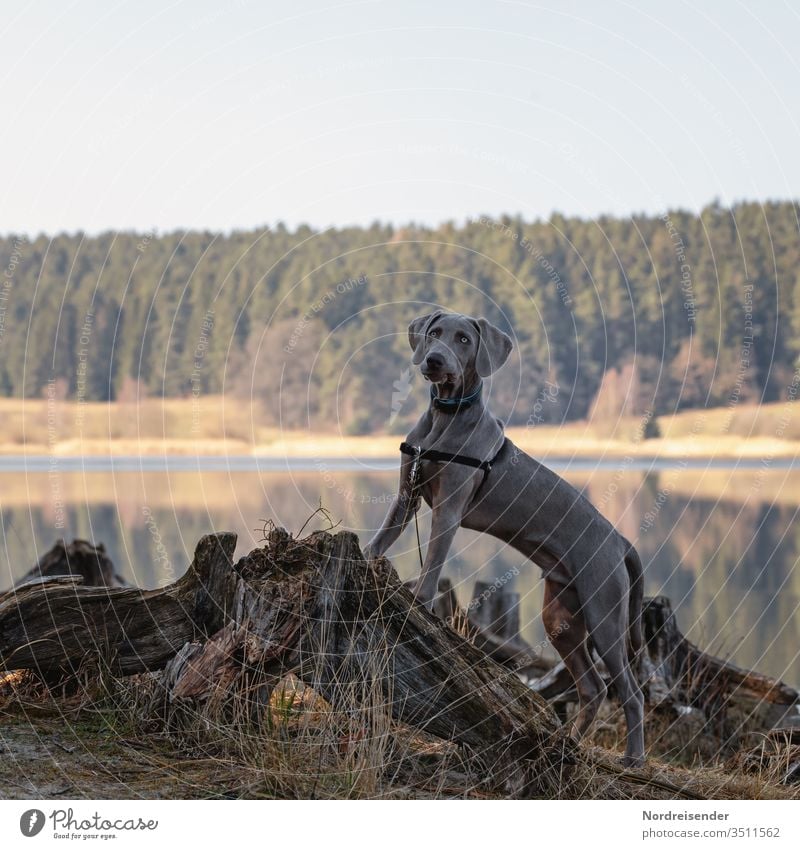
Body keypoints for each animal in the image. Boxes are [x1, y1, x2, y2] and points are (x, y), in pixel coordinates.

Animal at [366, 312, 648, 768]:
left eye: (464, 339)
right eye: (433, 333)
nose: (434, 360)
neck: (445, 416)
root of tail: (620, 539)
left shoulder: (448, 511)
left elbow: (432, 569)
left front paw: (418, 603)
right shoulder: (406, 497)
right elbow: (378, 541)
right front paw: (365, 561)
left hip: (604, 612)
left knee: (629, 690)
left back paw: (633, 758)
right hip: (561, 615)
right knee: (592, 687)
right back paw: (567, 744)